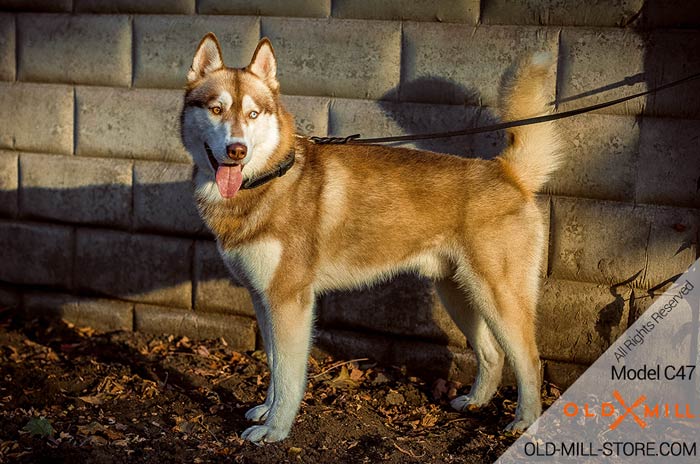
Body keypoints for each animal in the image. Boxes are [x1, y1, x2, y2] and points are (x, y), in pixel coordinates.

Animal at [182, 33, 564, 442]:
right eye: (217, 109)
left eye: (253, 114)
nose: (236, 150)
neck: (267, 179)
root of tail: (505, 171)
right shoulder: (262, 297)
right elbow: (273, 363)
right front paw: (267, 411)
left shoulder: (290, 301)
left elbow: (288, 376)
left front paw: (276, 428)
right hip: (459, 294)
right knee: (493, 354)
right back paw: (475, 401)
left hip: (499, 296)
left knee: (529, 361)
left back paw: (526, 421)